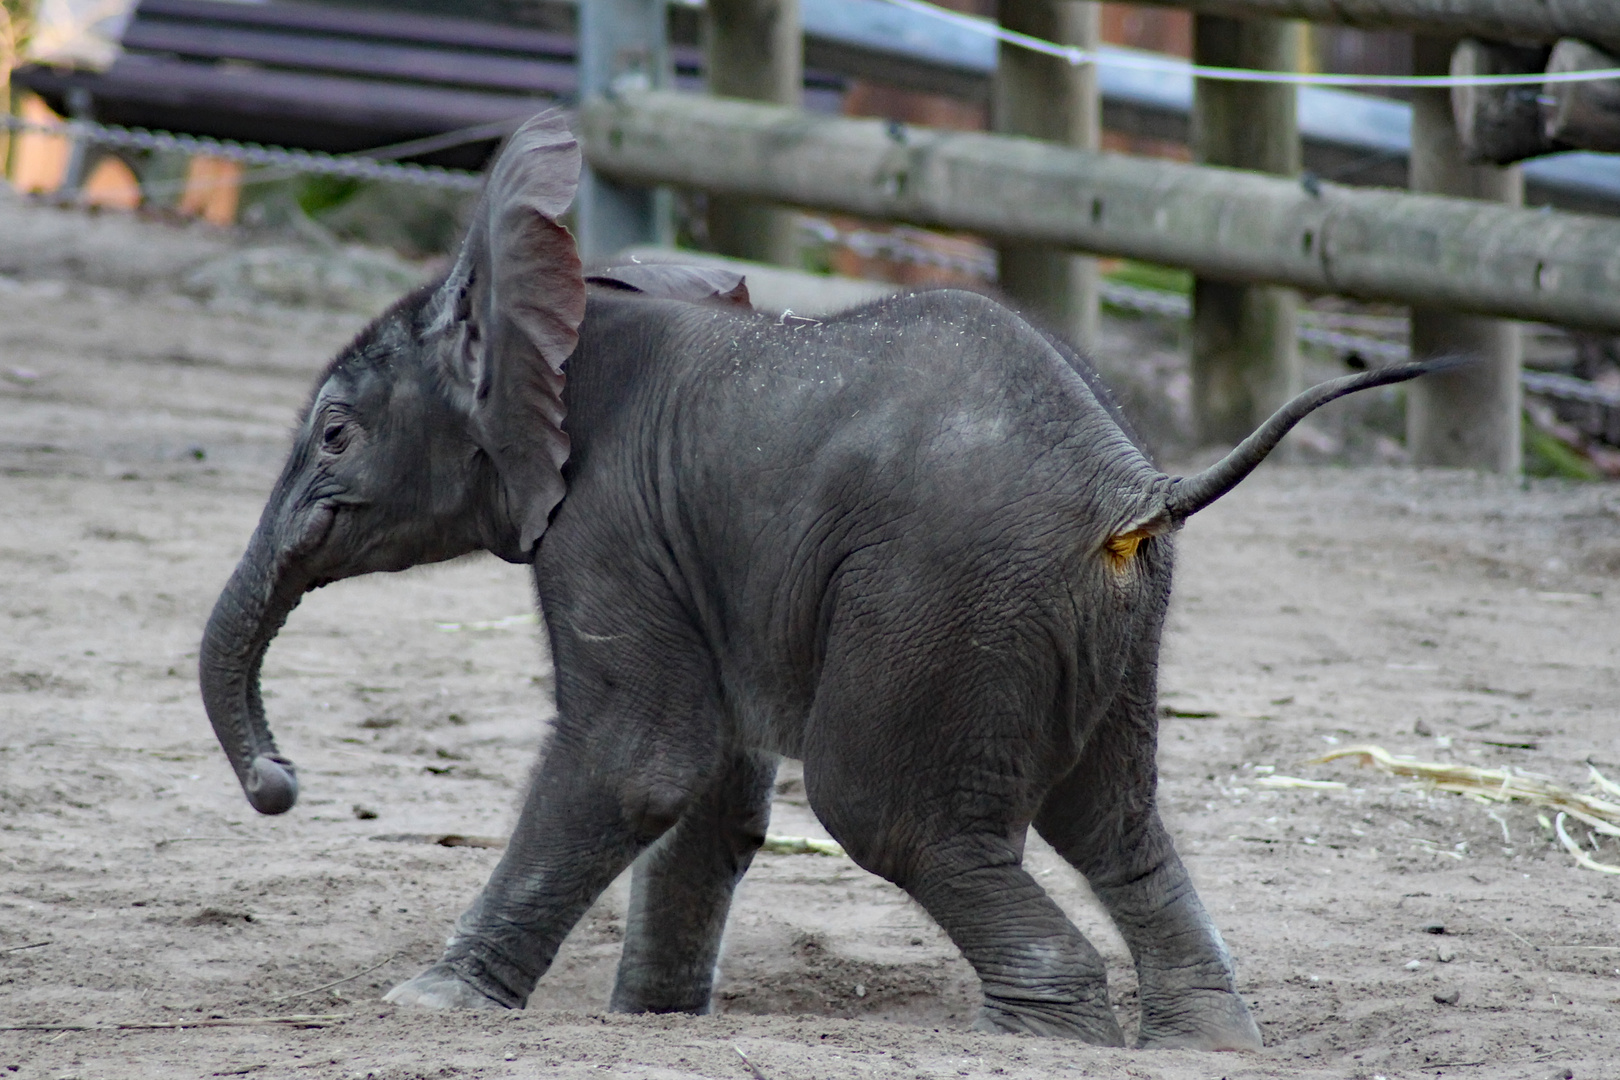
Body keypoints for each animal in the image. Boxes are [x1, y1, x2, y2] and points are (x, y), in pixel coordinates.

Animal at [199, 111, 1458, 1049]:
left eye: (335, 436)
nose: (279, 784)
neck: (563, 298)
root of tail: (1134, 487)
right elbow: (710, 788)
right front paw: (653, 1021)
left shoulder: (605, 525)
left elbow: (640, 760)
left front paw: (430, 1003)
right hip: (1102, 619)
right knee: (1115, 821)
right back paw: (1203, 1040)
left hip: (947, 596)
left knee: (892, 810)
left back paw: (1037, 1035)